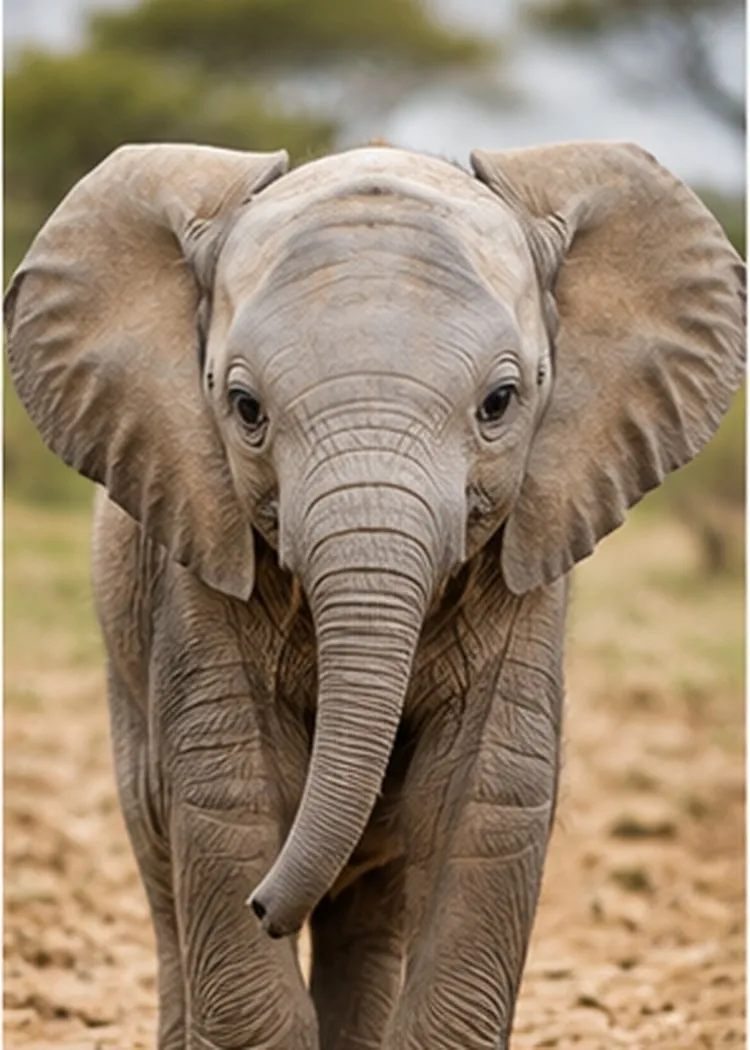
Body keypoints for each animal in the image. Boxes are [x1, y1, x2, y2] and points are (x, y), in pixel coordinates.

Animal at [5, 140, 744, 1050]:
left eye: (501, 403)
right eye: (243, 408)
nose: (263, 907)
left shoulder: (525, 561)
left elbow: (482, 800)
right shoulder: (196, 555)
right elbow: (227, 796)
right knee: (162, 859)